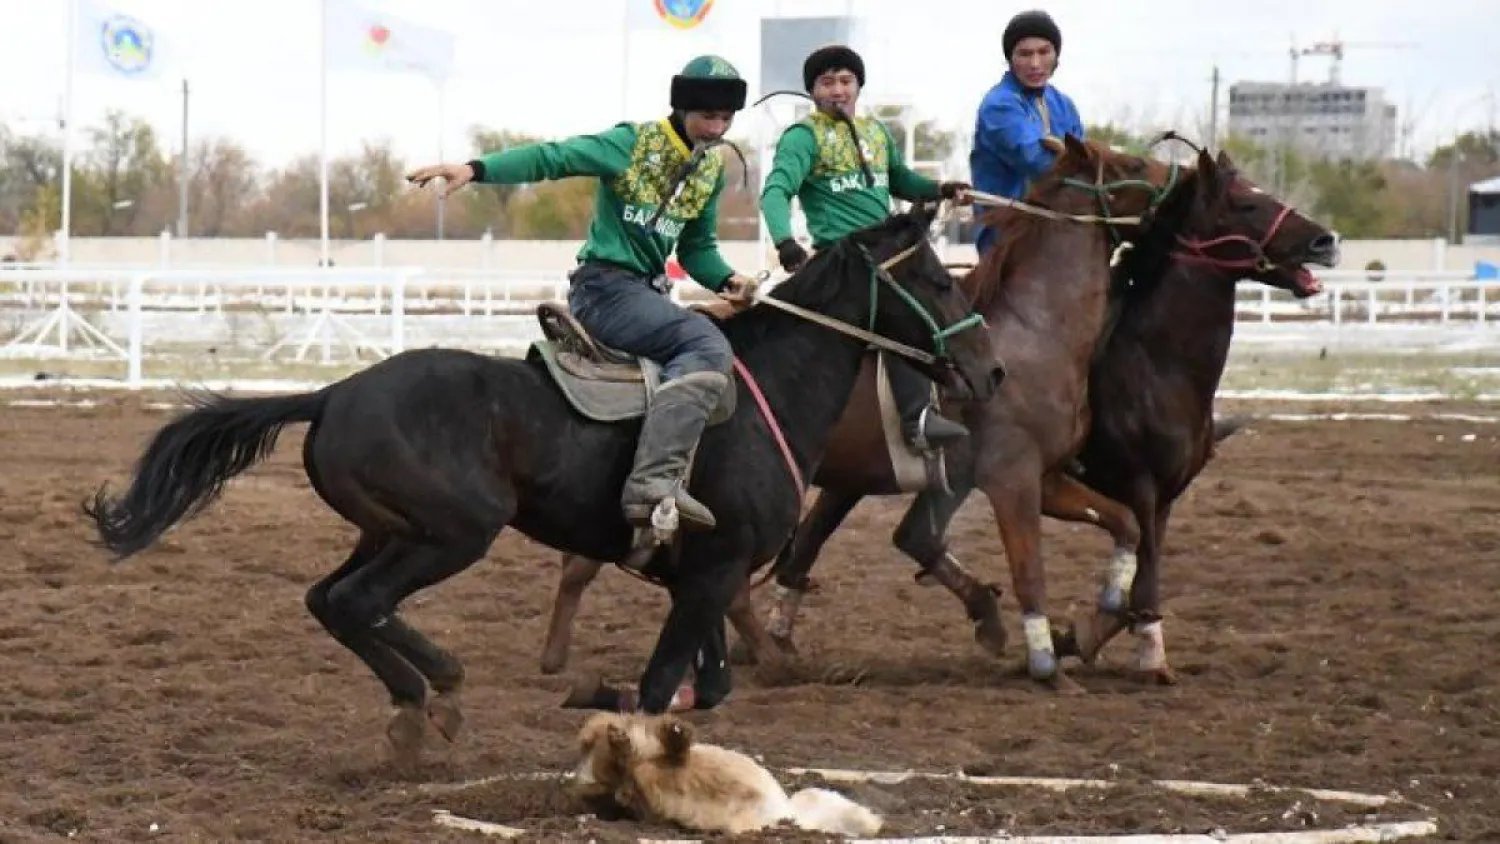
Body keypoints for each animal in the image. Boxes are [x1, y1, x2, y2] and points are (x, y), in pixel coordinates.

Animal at [79, 202, 996, 758]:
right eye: (937, 278)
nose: (988, 372)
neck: (770, 383)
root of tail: (335, 392)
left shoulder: (703, 577)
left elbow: (707, 685)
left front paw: (599, 694)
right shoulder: (715, 571)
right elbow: (664, 686)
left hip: (388, 530)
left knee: (328, 600)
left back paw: (420, 702)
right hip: (454, 531)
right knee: (358, 602)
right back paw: (439, 687)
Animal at [540, 133, 1194, 686]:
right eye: (1135, 164)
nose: (1183, 176)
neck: (1035, 332)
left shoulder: (1045, 475)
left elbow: (1124, 524)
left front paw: (1093, 614)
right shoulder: (1010, 477)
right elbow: (1021, 567)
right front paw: (1045, 658)